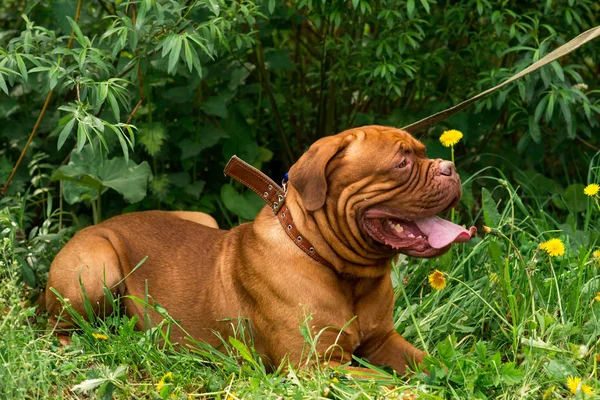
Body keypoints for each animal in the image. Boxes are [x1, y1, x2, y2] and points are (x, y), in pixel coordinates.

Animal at [42, 126, 476, 376]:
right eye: (402, 163)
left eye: (423, 153)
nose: (450, 168)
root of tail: (97, 224)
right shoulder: (320, 366)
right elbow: (393, 386)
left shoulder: (383, 342)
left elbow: (431, 363)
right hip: (96, 270)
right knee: (57, 326)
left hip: (201, 217)